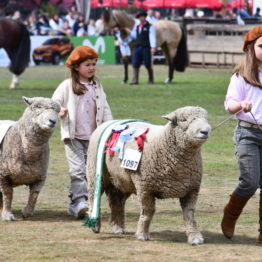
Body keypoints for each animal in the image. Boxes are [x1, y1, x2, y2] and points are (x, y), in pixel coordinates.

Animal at [87, 106, 212, 246]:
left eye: (206, 119)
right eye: (183, 120)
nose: (205, 131)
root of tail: (111, 122)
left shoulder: (191, 190)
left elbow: (189, 215)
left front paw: (195, 237)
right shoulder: (145, 188)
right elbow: (148, 212)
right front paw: (142, 234)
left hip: (122, 181)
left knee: (117, 202)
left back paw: (117, 227)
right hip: (96, 174)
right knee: (93, 198)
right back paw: (95, 224)